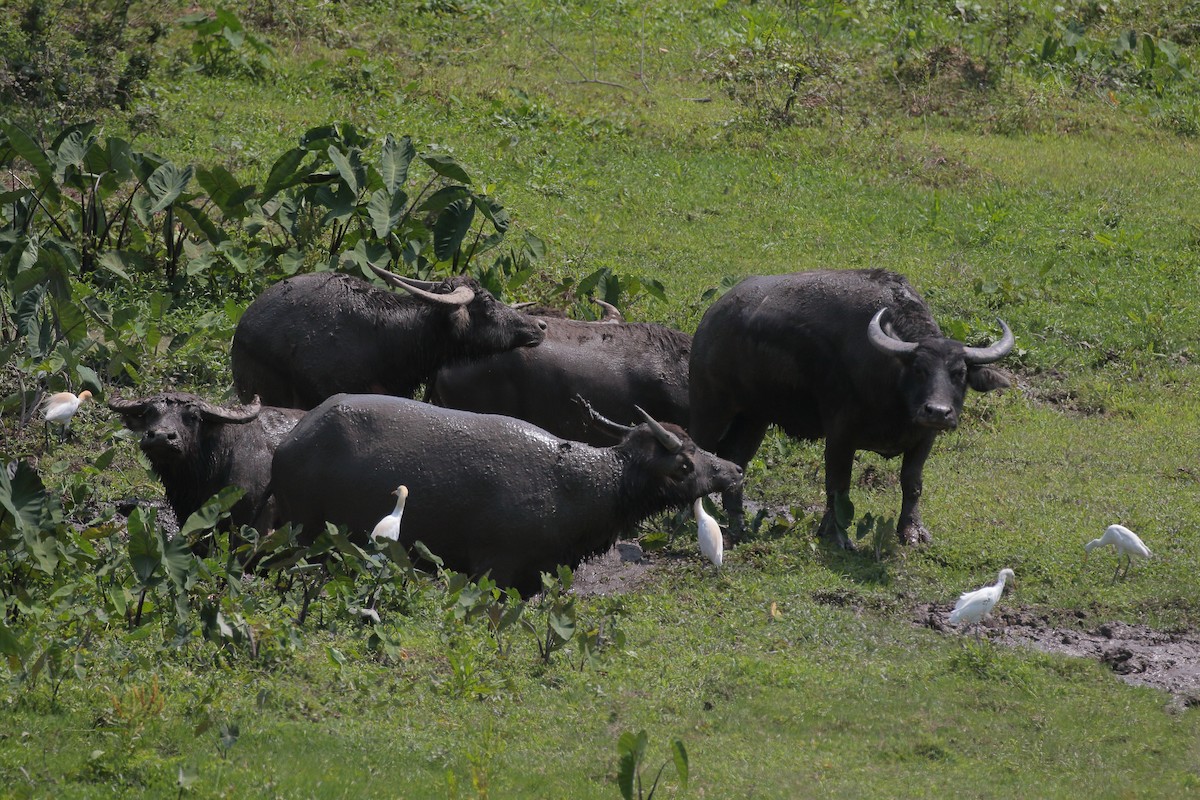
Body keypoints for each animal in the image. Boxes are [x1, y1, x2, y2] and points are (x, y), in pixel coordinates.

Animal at [271, 393, 739, 594]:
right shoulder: (493, 567)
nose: (734, 471)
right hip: (302, 534)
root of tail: (289, 442)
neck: (572, 485)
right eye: (684, 463)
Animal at [686, 268, 1012, 551]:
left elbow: (912, 482)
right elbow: (838, 485)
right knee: (699, 449)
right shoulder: (840, 434)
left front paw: (913, 531)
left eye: (959, 373)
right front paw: (835, 535)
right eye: (919, 369)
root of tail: (711, 318)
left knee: (735, 459)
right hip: (710, 406)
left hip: (755, 417)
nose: (938, 411)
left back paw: (738, 524)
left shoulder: (924, 438)